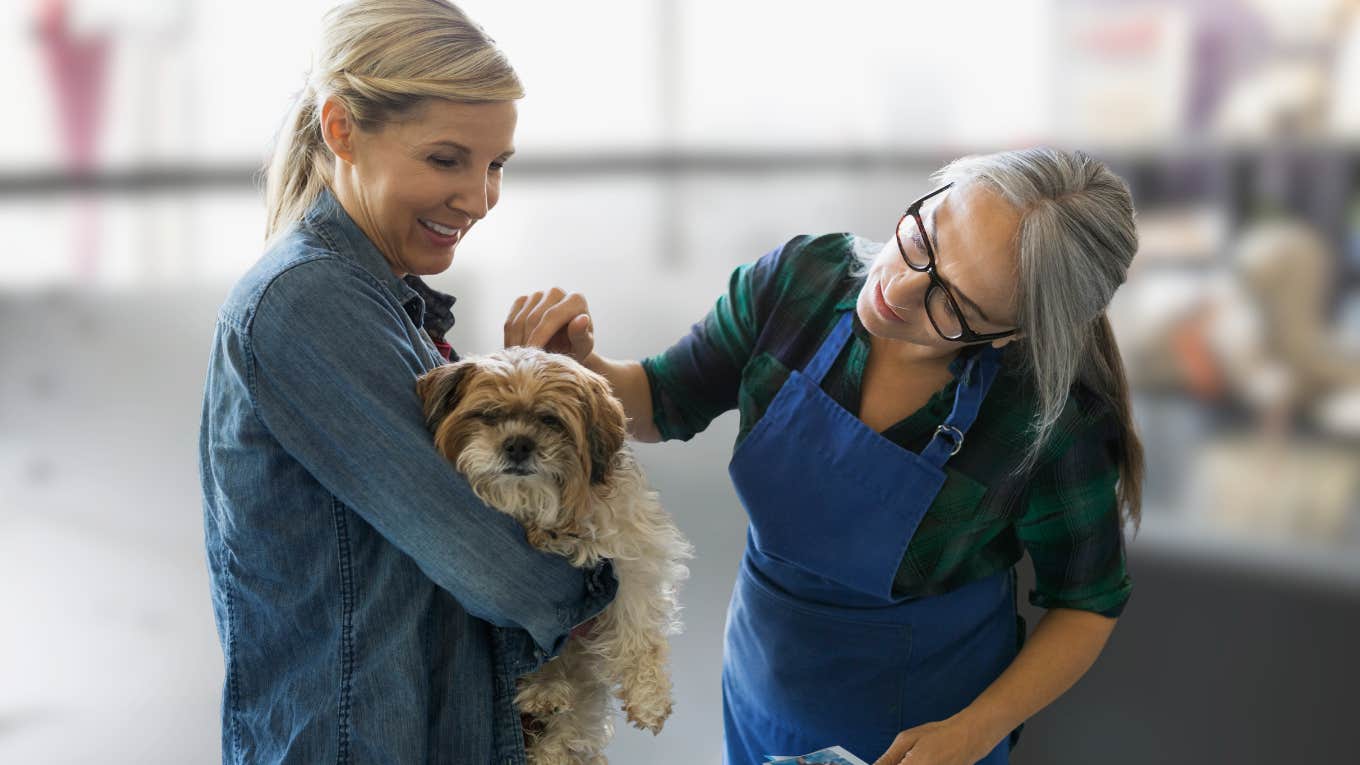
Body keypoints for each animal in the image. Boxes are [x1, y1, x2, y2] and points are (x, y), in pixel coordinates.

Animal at [413, 347, 690, 762]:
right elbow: (545, 644)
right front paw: (545, 686)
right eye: (489, 415)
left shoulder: (631, 548)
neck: (540, 512)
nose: (518, 443)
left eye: (550, 420)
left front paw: (648, 695)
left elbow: (638, 623)